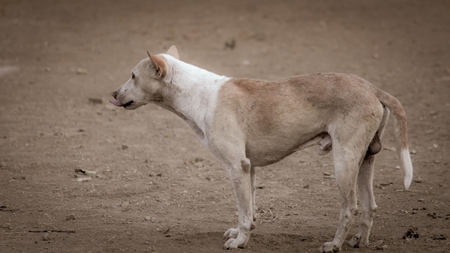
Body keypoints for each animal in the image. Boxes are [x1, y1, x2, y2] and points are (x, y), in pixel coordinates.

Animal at [110, 46, 414, 252]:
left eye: (133, 76)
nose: (113, 94)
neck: (199, 94)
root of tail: (373, 89)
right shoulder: (250, 168)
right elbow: (249, 209)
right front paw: (242, 232)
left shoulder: (237, 167)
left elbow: (244, 212)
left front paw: (240, 241)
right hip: (364, 161)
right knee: (369, 206)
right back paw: (359, 241)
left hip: (344, 162)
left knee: (349, 207)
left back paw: (334, 245)